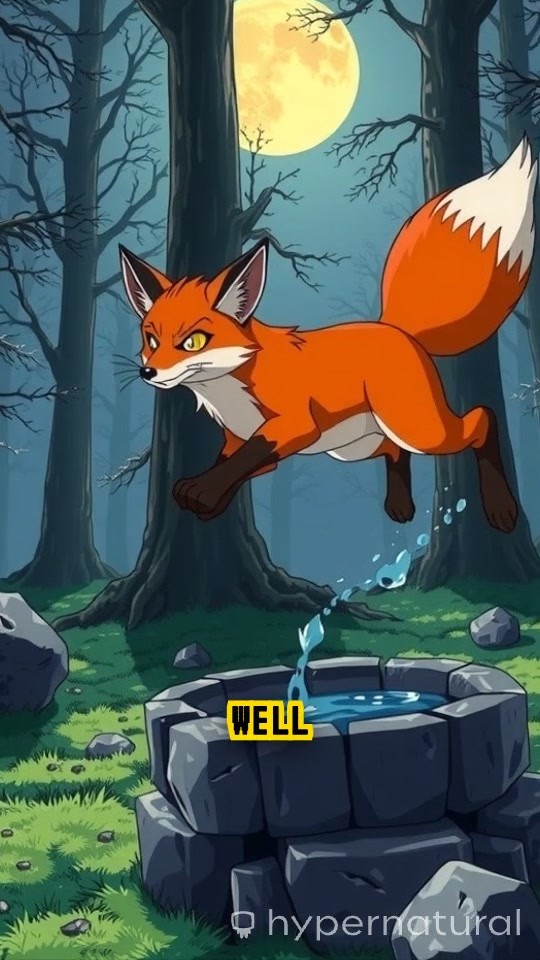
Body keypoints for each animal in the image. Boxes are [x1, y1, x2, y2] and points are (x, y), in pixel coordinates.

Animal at [119, 136, 537, 531]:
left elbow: (247, 457)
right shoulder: (242, 440)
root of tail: (393, 327)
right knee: (395, 451)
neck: (230, 391)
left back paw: (501, 506)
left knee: (482, 419)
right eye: (151, 339)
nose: (147, 372)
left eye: (193, 341)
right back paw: (400, 505)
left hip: (418, 429)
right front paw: (207, 496)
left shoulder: (294, 426)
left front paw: (203, 493)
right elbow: (236, 464)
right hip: (353, 446)